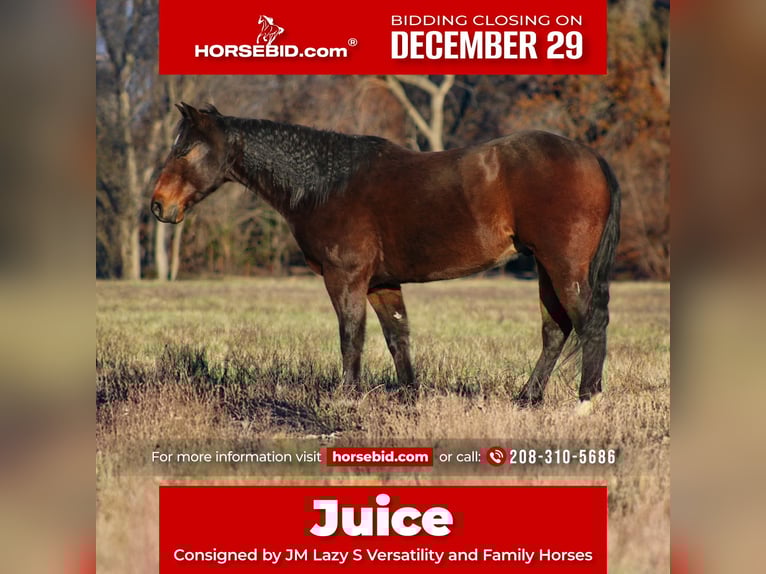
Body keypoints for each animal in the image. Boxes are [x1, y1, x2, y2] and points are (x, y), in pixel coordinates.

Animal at [151, 103, 620, 408]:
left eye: (184, 149)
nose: (158, 205)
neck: (328, 184)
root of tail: (591, 156)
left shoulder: (346, 278)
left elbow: (351, 335)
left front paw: (348, 399)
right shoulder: (381, 283)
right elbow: (397, 336)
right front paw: (409, 397)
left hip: (563, 266)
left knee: (589, 323)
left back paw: (587, 401)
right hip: (545, 268)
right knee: (556, 330)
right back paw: (527, 397)